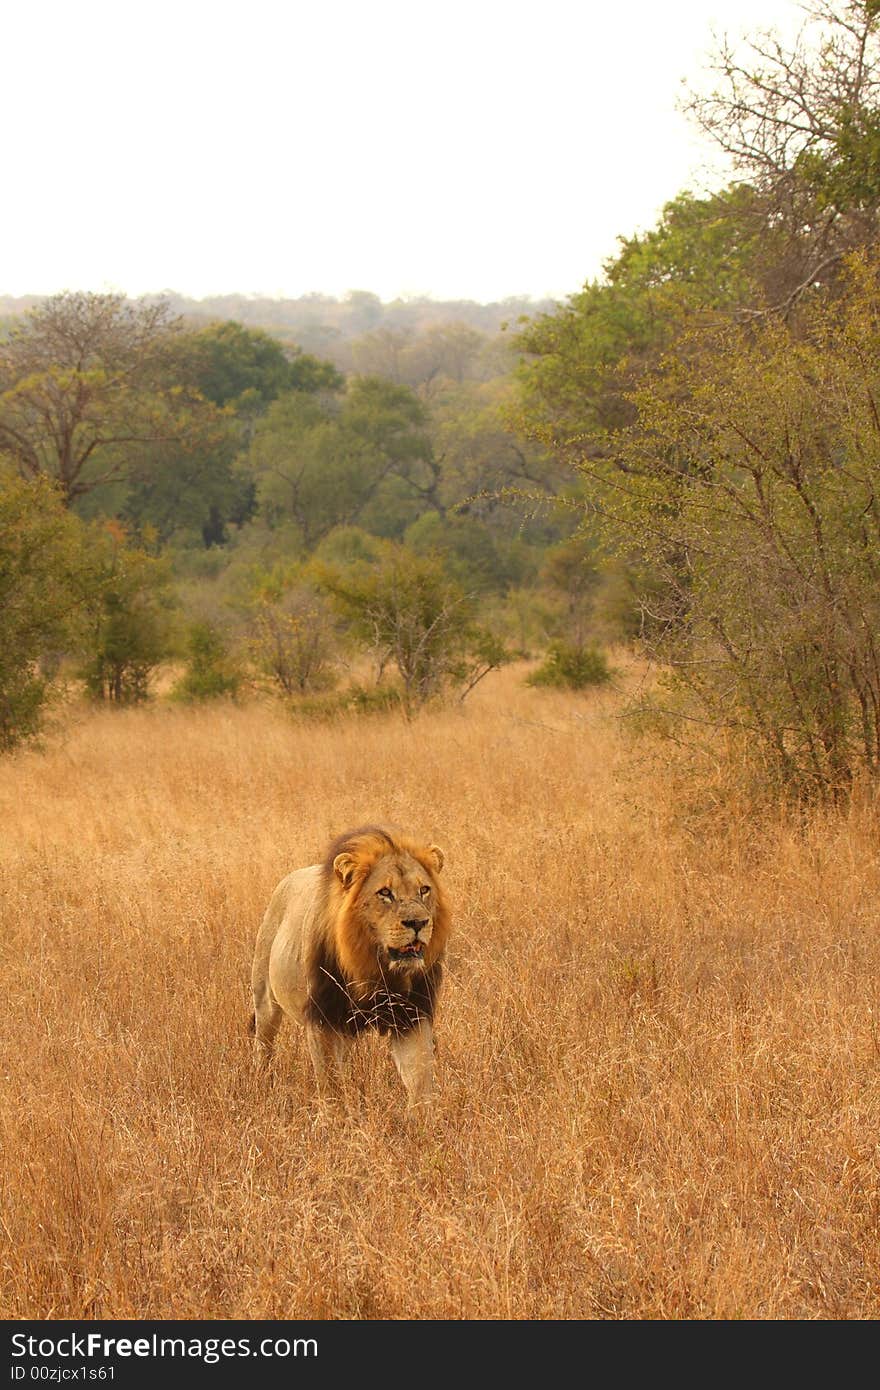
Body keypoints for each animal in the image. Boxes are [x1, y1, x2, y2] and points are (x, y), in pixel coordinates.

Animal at [248, 822, 450, 1106]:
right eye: (385, 893)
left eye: (424, 890)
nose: (418, 923)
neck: (373, 966)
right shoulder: (323, 1017)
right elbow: (331, 1085)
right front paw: (336, 1117)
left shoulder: (412, 1014)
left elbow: (420, 1080)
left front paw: (425, 1116)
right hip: (265, 999)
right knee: (263, 1045)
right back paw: (261, 1085)